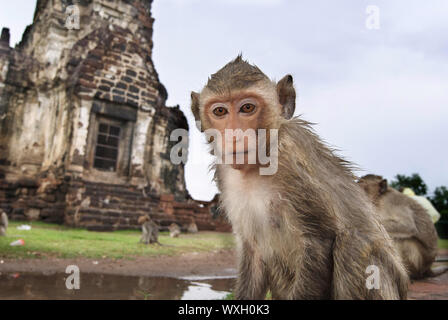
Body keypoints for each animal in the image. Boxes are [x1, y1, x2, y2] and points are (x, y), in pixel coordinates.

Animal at [190, 55, 410, 300]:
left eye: (247, 107)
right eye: (220, 111)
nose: (234, 136)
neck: (257, 166)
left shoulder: (291, 163)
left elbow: (318, 240)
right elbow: (254, 251)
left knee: (352, 243)